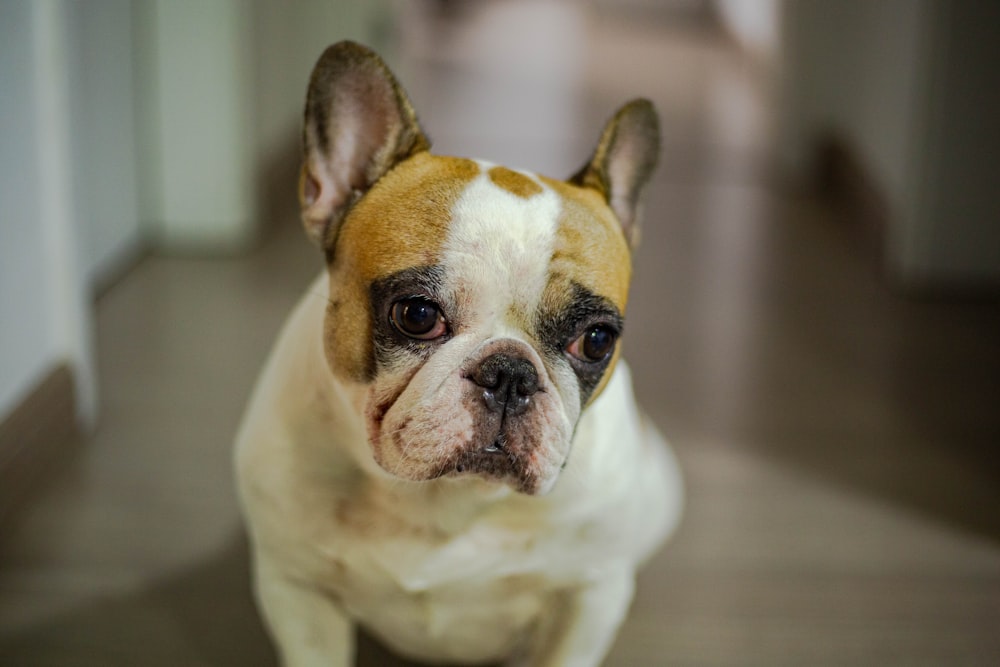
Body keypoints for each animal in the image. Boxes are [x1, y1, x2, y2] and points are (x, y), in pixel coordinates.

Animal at [236, 43, 680, 667]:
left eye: (596, 340)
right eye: (417, 314)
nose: (511, 374)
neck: (446, 499)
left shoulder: (590, 595)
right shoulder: (295, 588)